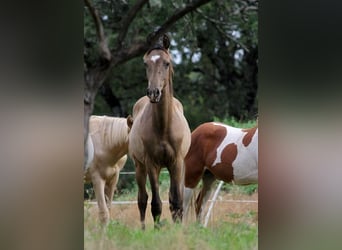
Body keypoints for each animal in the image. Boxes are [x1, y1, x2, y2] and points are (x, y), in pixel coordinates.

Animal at [129, 34, 192, 229]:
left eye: (166, 63)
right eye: (145, 64)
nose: (153, 93)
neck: (163, 127)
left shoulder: (176, 163)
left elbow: (177, 201)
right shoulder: (152, 164)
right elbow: (155, 204)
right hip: (139, 167)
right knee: (142, 199)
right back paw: (142, 230)